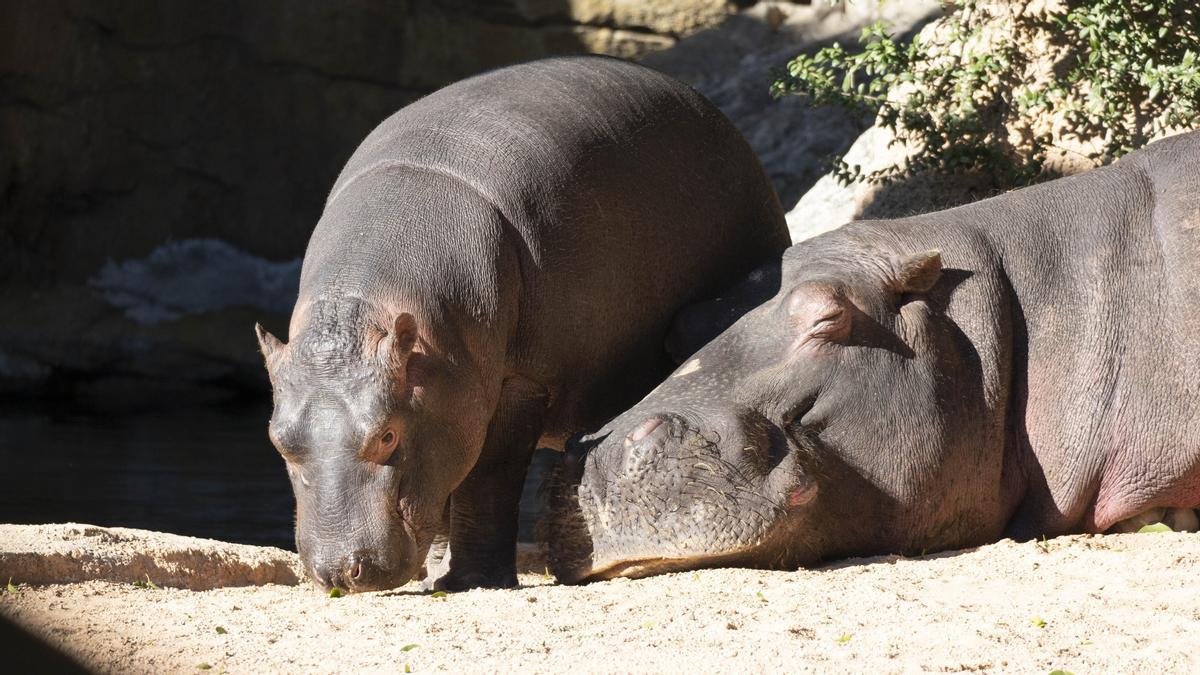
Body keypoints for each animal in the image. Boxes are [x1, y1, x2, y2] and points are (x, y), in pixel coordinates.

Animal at [255, 55, 787, 588]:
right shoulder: (448, 403)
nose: (340, 572)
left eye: (387, 434)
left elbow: (488, 476)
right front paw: (436, 578)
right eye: (277, 440)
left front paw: (472, 580)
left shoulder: (521, 381)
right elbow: (445, 481)